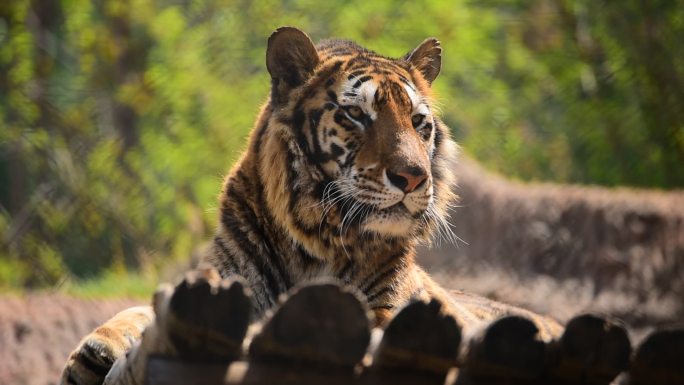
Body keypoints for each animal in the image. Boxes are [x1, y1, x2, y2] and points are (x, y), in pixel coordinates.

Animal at [60, 27, 560, 384]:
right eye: (356, 114)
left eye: (419, 122)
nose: (414, 177)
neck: (316, 240)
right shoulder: (219, 281)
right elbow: (144, 310)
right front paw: (94, 351)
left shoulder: (388, 310)